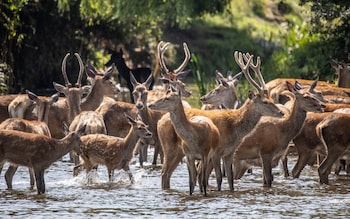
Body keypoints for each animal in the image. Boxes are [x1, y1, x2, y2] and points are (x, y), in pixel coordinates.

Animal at [156, 51, 284, 192]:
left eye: (271, 99)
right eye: (265, 102)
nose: (281, 112)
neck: (234, 127)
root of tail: (160, 120)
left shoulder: (229, 153)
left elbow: (230, 179)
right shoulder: (216, 152)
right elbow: (218, 178)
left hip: (180, 152)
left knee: (168, 174)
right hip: (168, 146)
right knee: (164, 172)